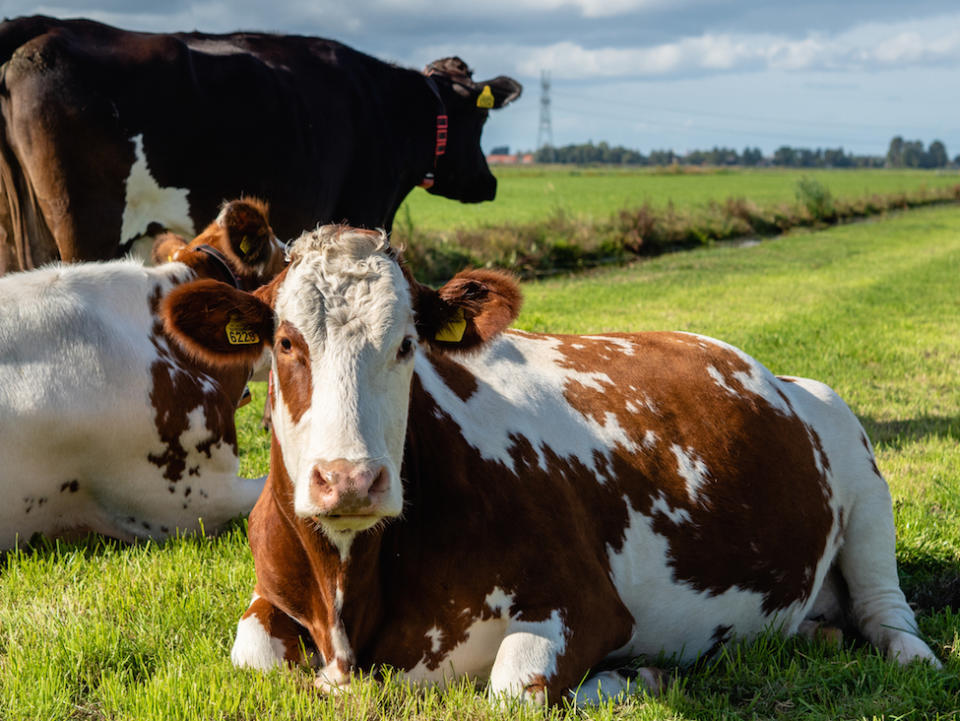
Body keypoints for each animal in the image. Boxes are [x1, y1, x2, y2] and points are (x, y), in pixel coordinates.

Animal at [161, 224, 940, 704]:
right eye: (286, 342)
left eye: (408, 343)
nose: (350, 480)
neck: (352, 595)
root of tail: (777, 375)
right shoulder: (270, 596)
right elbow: (253, 653)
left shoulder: (586, 603)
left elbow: (513, 689)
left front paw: (635, 678)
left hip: (857, 459)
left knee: (887, 610)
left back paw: (914, 657)